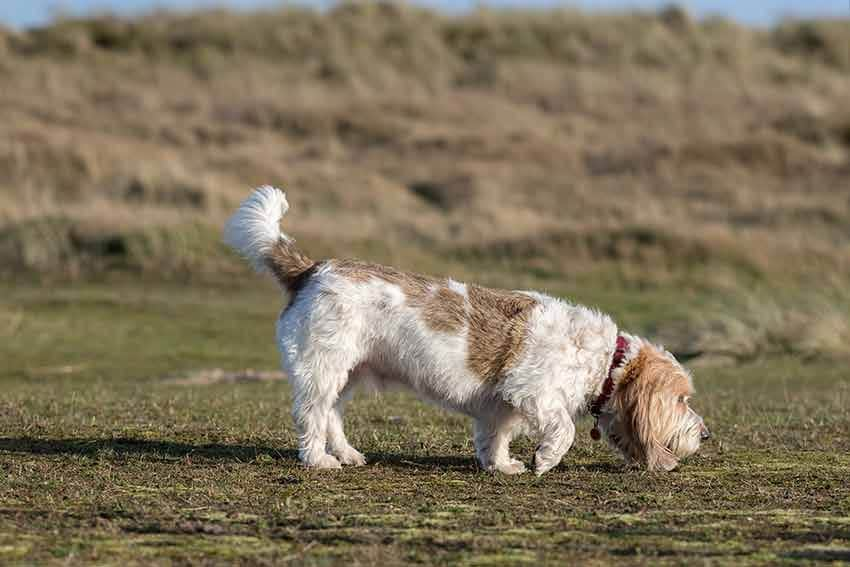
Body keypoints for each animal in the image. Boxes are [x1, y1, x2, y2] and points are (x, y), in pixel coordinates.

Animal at [222, 186, 704, 474]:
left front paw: (502, 465)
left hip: (348, 374)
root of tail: (311, 269)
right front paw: (544, 460)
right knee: (311, 415)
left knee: (332, 416)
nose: (707, 434)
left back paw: (346, 453)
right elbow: (563, 428)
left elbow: (496, 436)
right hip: (322, 370)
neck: (605, 361)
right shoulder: (535, 392)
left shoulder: (502, 405)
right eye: (682, 399)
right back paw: (319, 459)